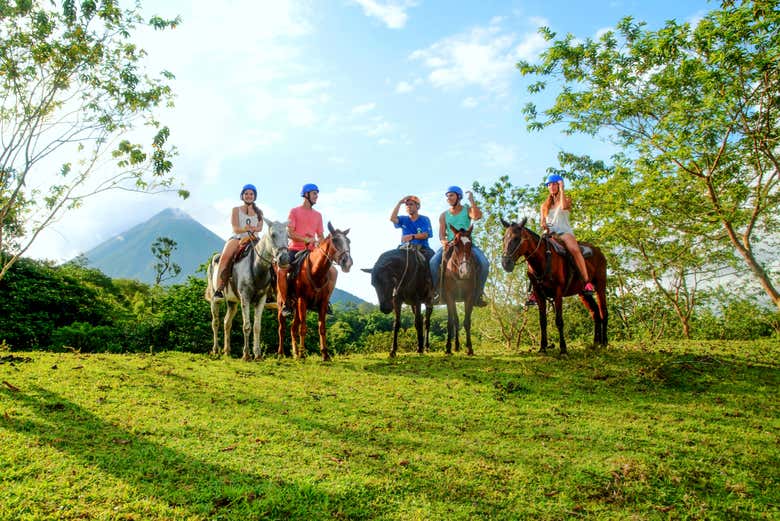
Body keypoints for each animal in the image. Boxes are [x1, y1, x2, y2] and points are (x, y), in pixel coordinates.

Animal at [206, 217, 290, 360]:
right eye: (273, 235)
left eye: (287, 236)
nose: (284, 259)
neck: (256, 266)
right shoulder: (245, 298)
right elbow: (246, 326)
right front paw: (246, 354)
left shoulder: (261, 299)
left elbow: (256, 327)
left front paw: (257, 354)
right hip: (214, 300)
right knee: (215, 322)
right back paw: (215, 350)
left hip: (232, 302)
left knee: (226, 322)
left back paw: (227, 351)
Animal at [276, 221, 352, 360]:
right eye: (335, 240)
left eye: (348, 241)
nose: (348, 262)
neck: (316, 271)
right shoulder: (303, 300)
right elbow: (303, 328)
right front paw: (303, 354)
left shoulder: (323, 302)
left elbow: (322, 328)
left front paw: (325, 355)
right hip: (282, 305)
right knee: (282, 328)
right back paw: (281, 353)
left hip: (296, 308)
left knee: (292, 328)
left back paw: (295, 353)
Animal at [442, 223, 478, 354]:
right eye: (456, 244)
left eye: (470, 244)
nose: (465, 272)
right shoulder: (449, 297)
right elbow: (450, 322)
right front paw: (448, 347)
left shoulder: (469, 296)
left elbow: (467, 322)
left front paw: (470, 348)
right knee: (455, 321)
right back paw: (455, 346)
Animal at [500, 215, 608, 354]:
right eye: (503, 239)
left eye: (516, 238)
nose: (505, 263)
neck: (542, 260)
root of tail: (599, 251)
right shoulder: (539, 294)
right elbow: (542, 321)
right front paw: (542, 347)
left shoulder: (558, 293)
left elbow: (559, 321)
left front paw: (563, 349)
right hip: (583, 293)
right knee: (595, 312)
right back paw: (595, 343)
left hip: (600, 285)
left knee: (603, 311)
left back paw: (604, 343)